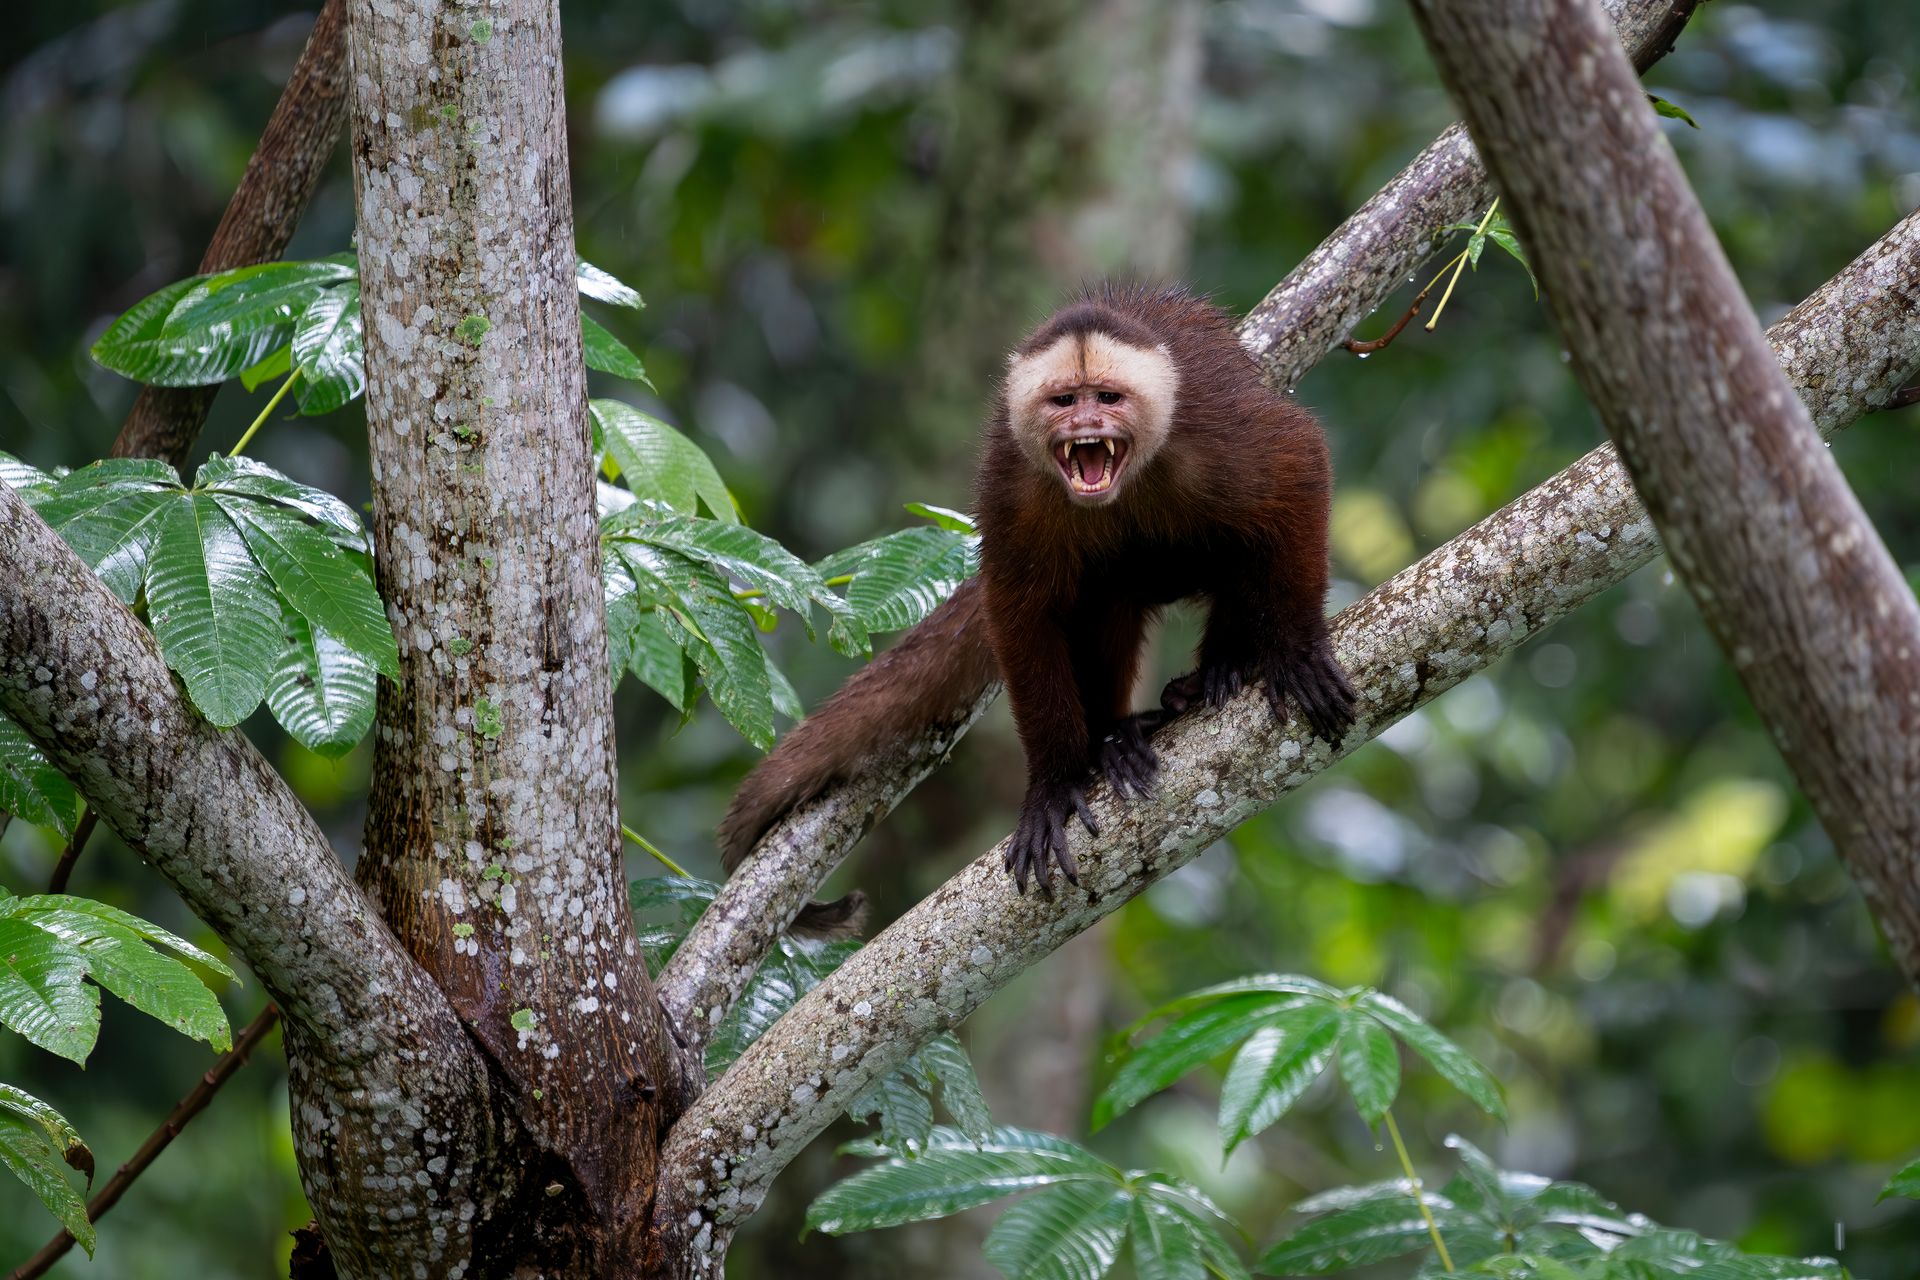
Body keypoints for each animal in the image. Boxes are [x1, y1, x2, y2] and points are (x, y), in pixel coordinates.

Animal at [719, 283, 1355, 932]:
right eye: (1064, 401)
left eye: (1107, 398)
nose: (1085, 423)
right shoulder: (1013, 485)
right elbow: (1020, 615)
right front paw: (1053, 784)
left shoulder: (1212, 432)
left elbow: (1298, 464)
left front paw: (1297, 652)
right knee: (1108, 588)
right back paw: (1115, 737)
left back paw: (1219, 669)